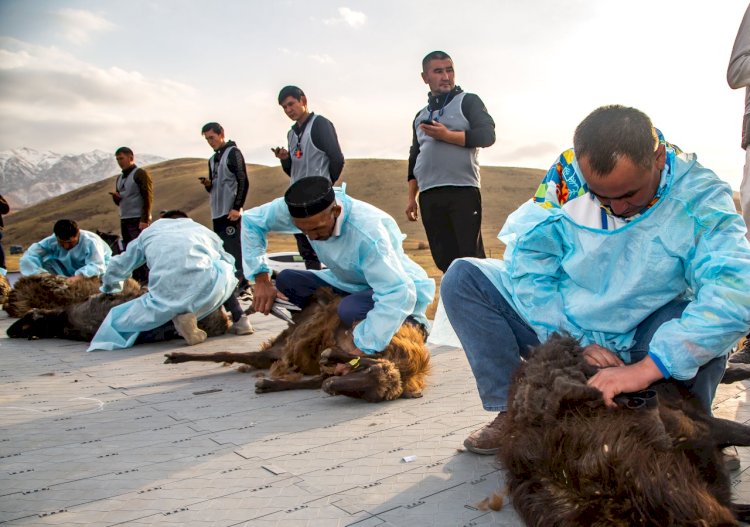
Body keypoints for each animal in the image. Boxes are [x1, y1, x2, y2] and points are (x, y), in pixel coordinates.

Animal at [167, 286, 432, 402]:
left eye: (366, 395)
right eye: (367, 370)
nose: (331, 388)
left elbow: (307, 382)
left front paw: (268, 385)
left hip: (279, 348)